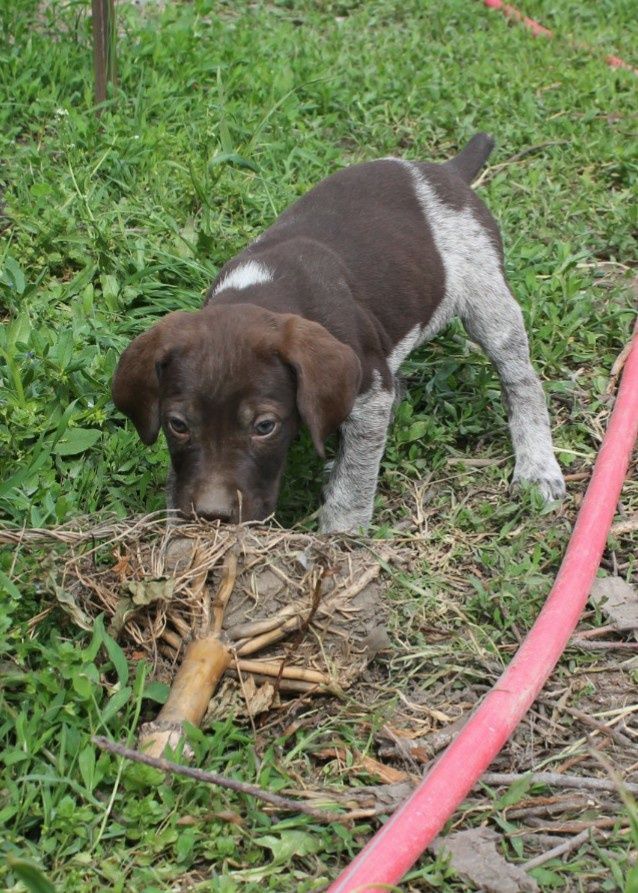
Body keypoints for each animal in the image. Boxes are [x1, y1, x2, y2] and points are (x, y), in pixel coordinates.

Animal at [112, 134, 568, 528]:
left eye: (265, 427)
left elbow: (357, 477)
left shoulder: (369, 386)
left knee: (522, 383)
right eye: (177, 424)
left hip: (488, 298)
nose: (213, 517)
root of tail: (445, 171)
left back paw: (536, 465)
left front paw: (341, 533)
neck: (263, 293)